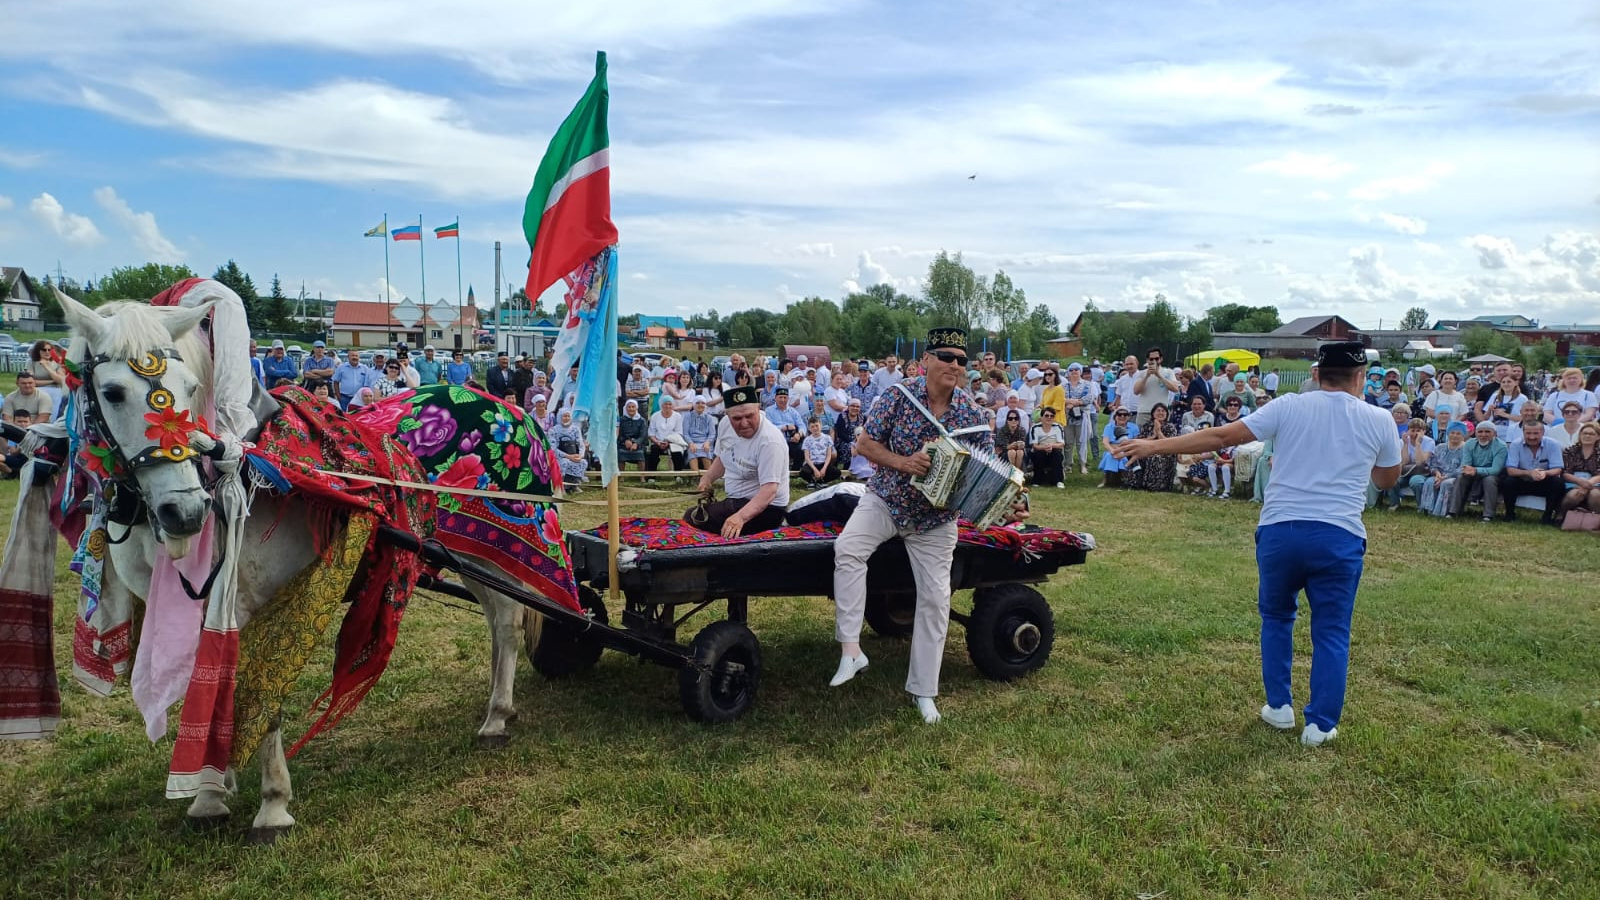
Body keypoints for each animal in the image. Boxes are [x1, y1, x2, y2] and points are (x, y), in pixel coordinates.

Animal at [50, 288, 560, 839]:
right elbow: (206, 688)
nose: (184, 512)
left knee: (507, 622)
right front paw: (213, 788)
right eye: (113, 392)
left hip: (492, 553)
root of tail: (513, 412)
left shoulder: (252, 604)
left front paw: (270, 804)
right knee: (498, 623)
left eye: (190, 387)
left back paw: (496, 716)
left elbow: (258, 692)